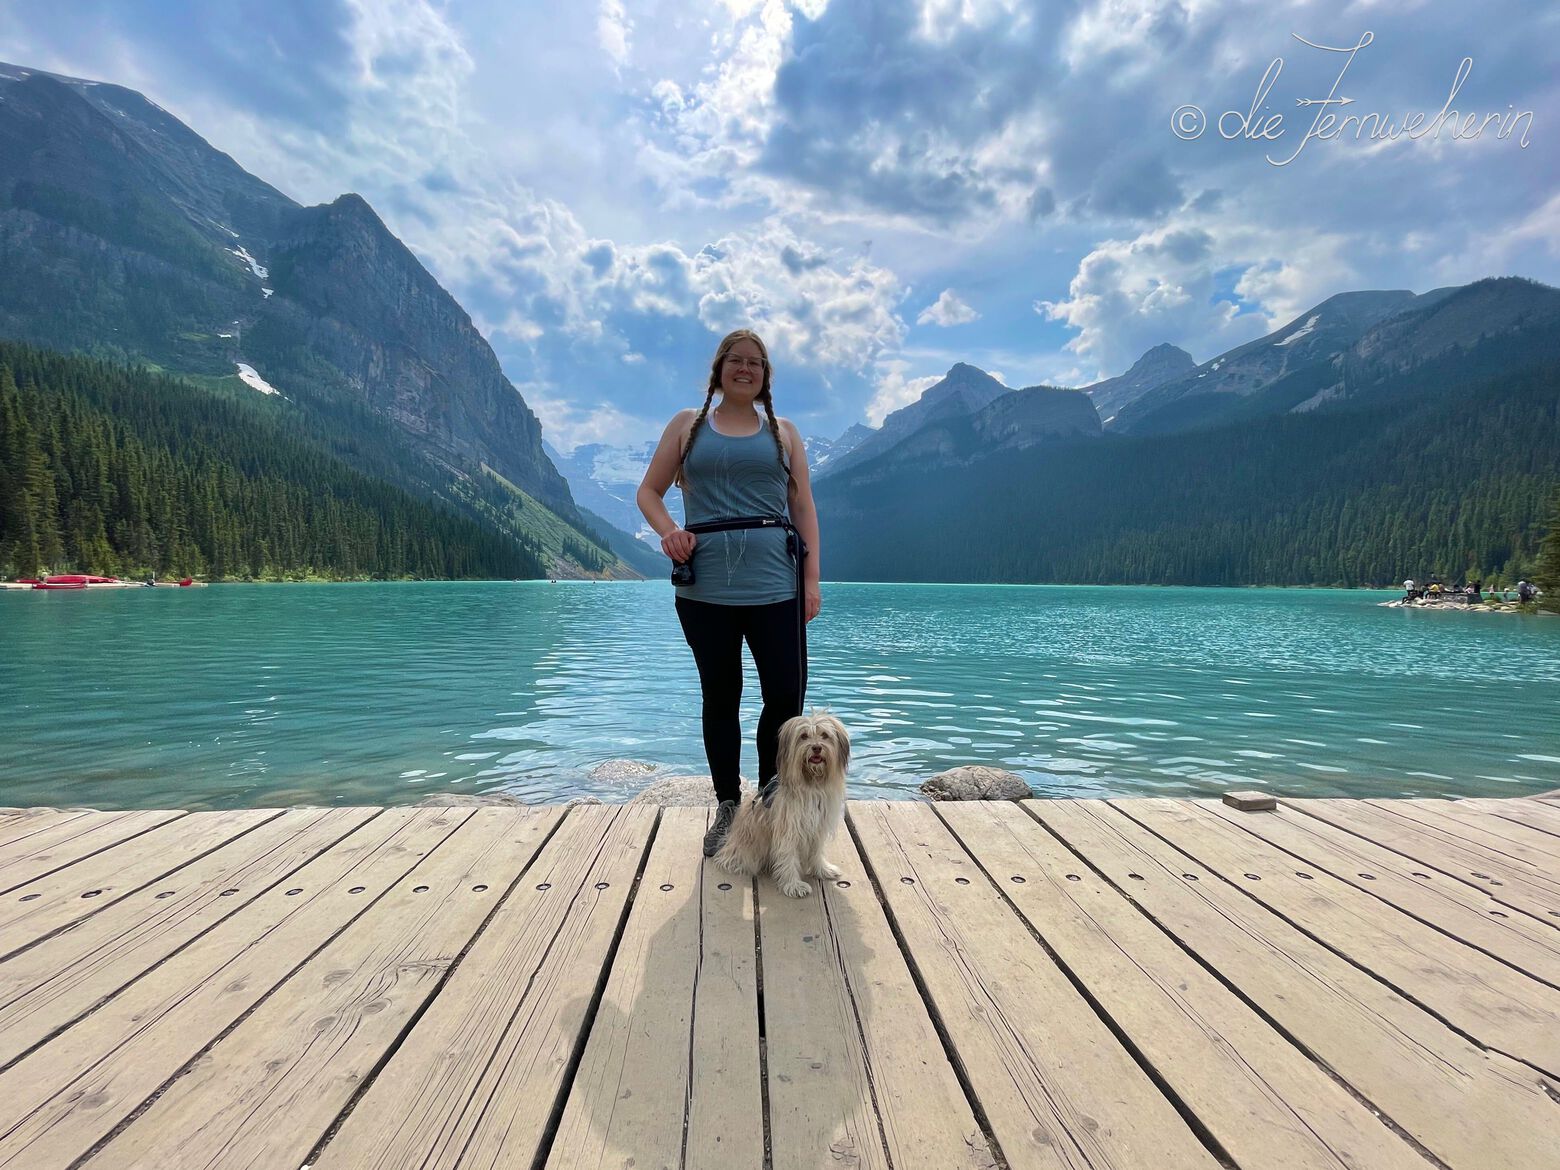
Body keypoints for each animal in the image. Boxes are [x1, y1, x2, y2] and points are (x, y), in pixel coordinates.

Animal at [714, 714, 854, 898]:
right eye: (804, 736)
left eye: (825, 735)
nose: (816, 748)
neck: (812, 784)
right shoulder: (789, 830)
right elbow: (788, 857)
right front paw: (794, 885)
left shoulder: (818, 827)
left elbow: (817, 851)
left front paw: (822, 869)